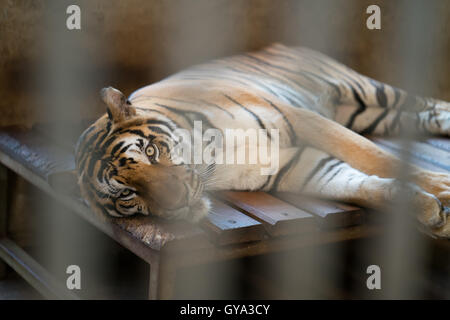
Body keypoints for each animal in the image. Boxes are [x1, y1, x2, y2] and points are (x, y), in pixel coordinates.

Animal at [74, 43, 450, 238]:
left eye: (150, 151)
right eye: (126, 193)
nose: (178, 199)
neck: (212, 158)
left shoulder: (300, 119)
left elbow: (370, 155)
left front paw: (441, 186)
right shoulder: (294, 166)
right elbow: (359, 185)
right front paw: (431, 212)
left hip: (368, 90)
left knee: (432, 103)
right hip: (373, 113)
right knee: (431, 114)